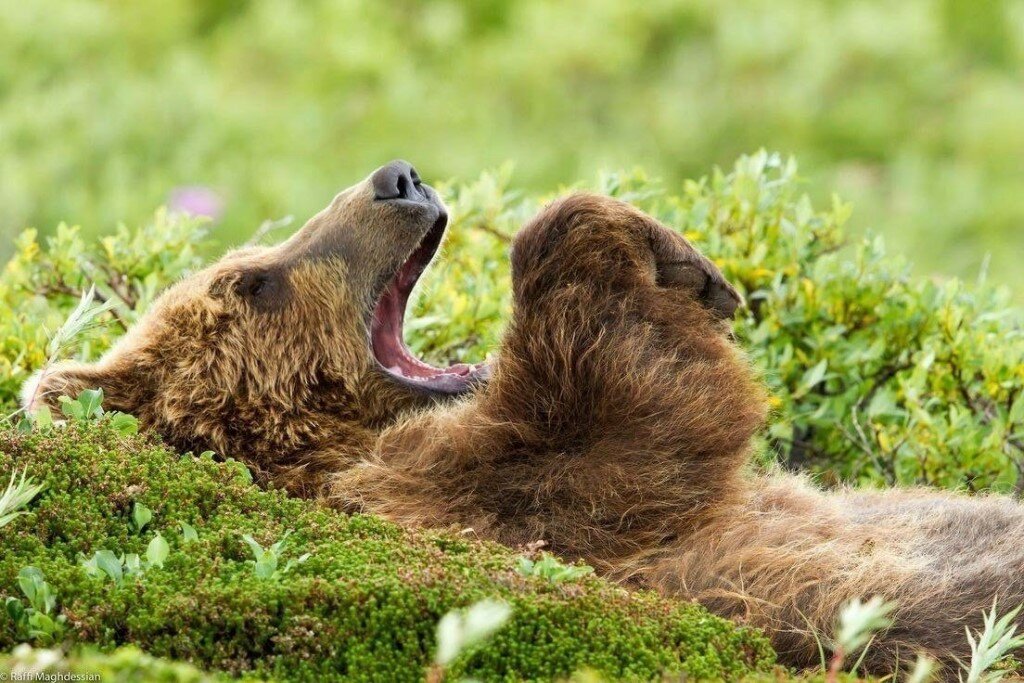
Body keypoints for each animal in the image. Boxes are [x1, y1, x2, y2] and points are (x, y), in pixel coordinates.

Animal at [23, 160, 1024, 675]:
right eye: (254, 280)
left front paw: (680, 251)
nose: (397, 177)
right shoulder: (487, 508)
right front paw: (665, 257)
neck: (345, 442)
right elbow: (630, 420)